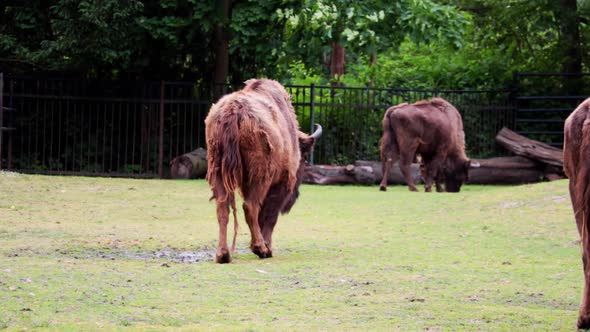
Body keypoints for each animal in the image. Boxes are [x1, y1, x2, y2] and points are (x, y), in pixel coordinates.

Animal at [205, 79, 324, 264]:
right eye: (303, 156)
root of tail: (233, 111)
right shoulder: (281, 183)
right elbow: (270, 215)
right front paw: (267, 246)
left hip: (217, 170)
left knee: (222, 208)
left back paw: (222, 255)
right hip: (259, 177)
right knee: (250, 207)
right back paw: (261, 249)